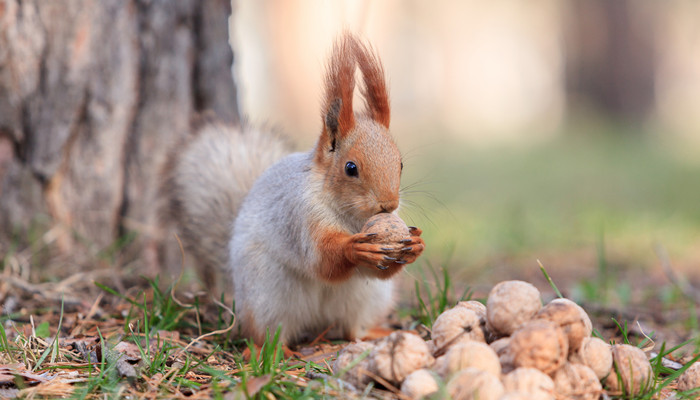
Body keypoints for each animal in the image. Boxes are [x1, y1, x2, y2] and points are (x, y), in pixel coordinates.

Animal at [163, 32, 426, 346]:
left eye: (400, 164)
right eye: (351, 168)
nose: (389, 204)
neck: (352, 216)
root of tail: (317, 323)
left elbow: (375, 270)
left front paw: (416, 245)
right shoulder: (300, 217)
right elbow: (323, 260)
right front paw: (354, 247)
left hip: (366, 297)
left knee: (352, 328)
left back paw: (374, 333)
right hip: (266, 295)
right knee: (266, 335)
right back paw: (273, 350)